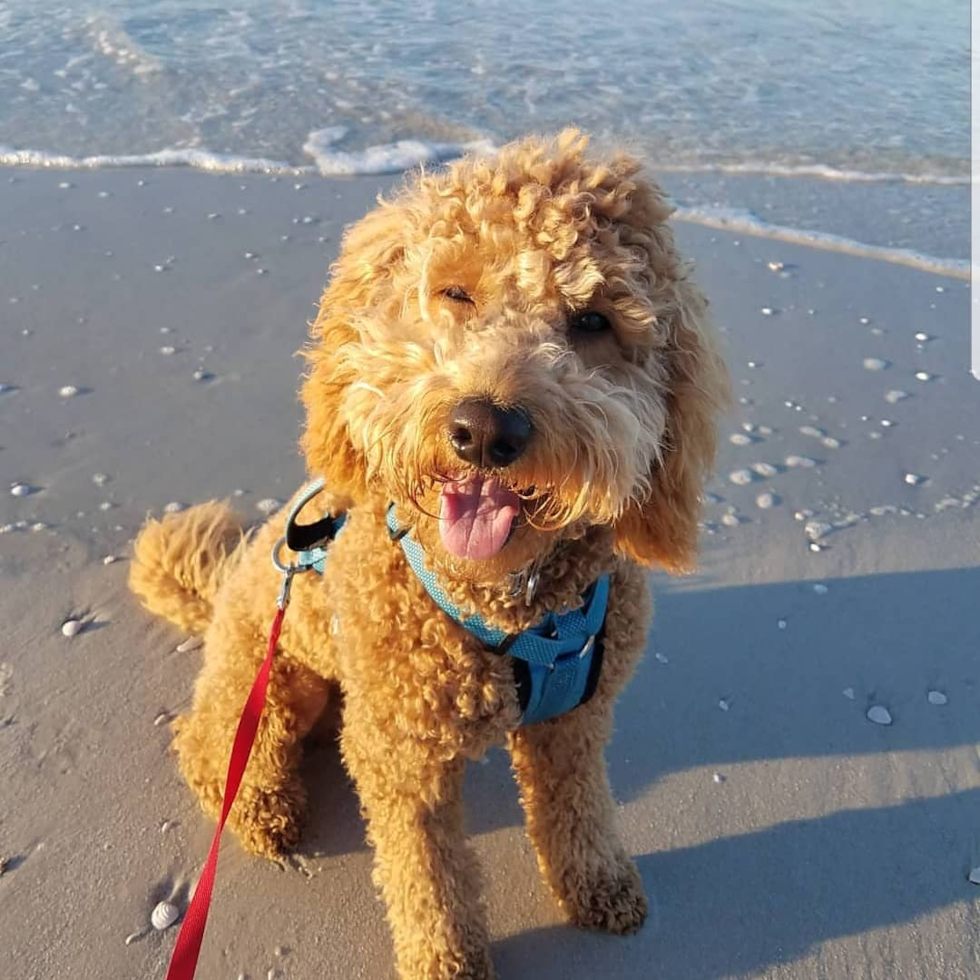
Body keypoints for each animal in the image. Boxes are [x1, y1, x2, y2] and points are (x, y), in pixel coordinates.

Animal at [128, 132, 728, 980]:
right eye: (454, 293)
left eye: (593, 320)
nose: (485, 428)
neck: (512, 608)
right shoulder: (400, 758)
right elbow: (428, 879)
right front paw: (446, 960)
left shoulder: (574, 723)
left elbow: (579, 812)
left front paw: (600, 884)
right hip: (272, 678)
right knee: (214, 743)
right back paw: (262, 808)